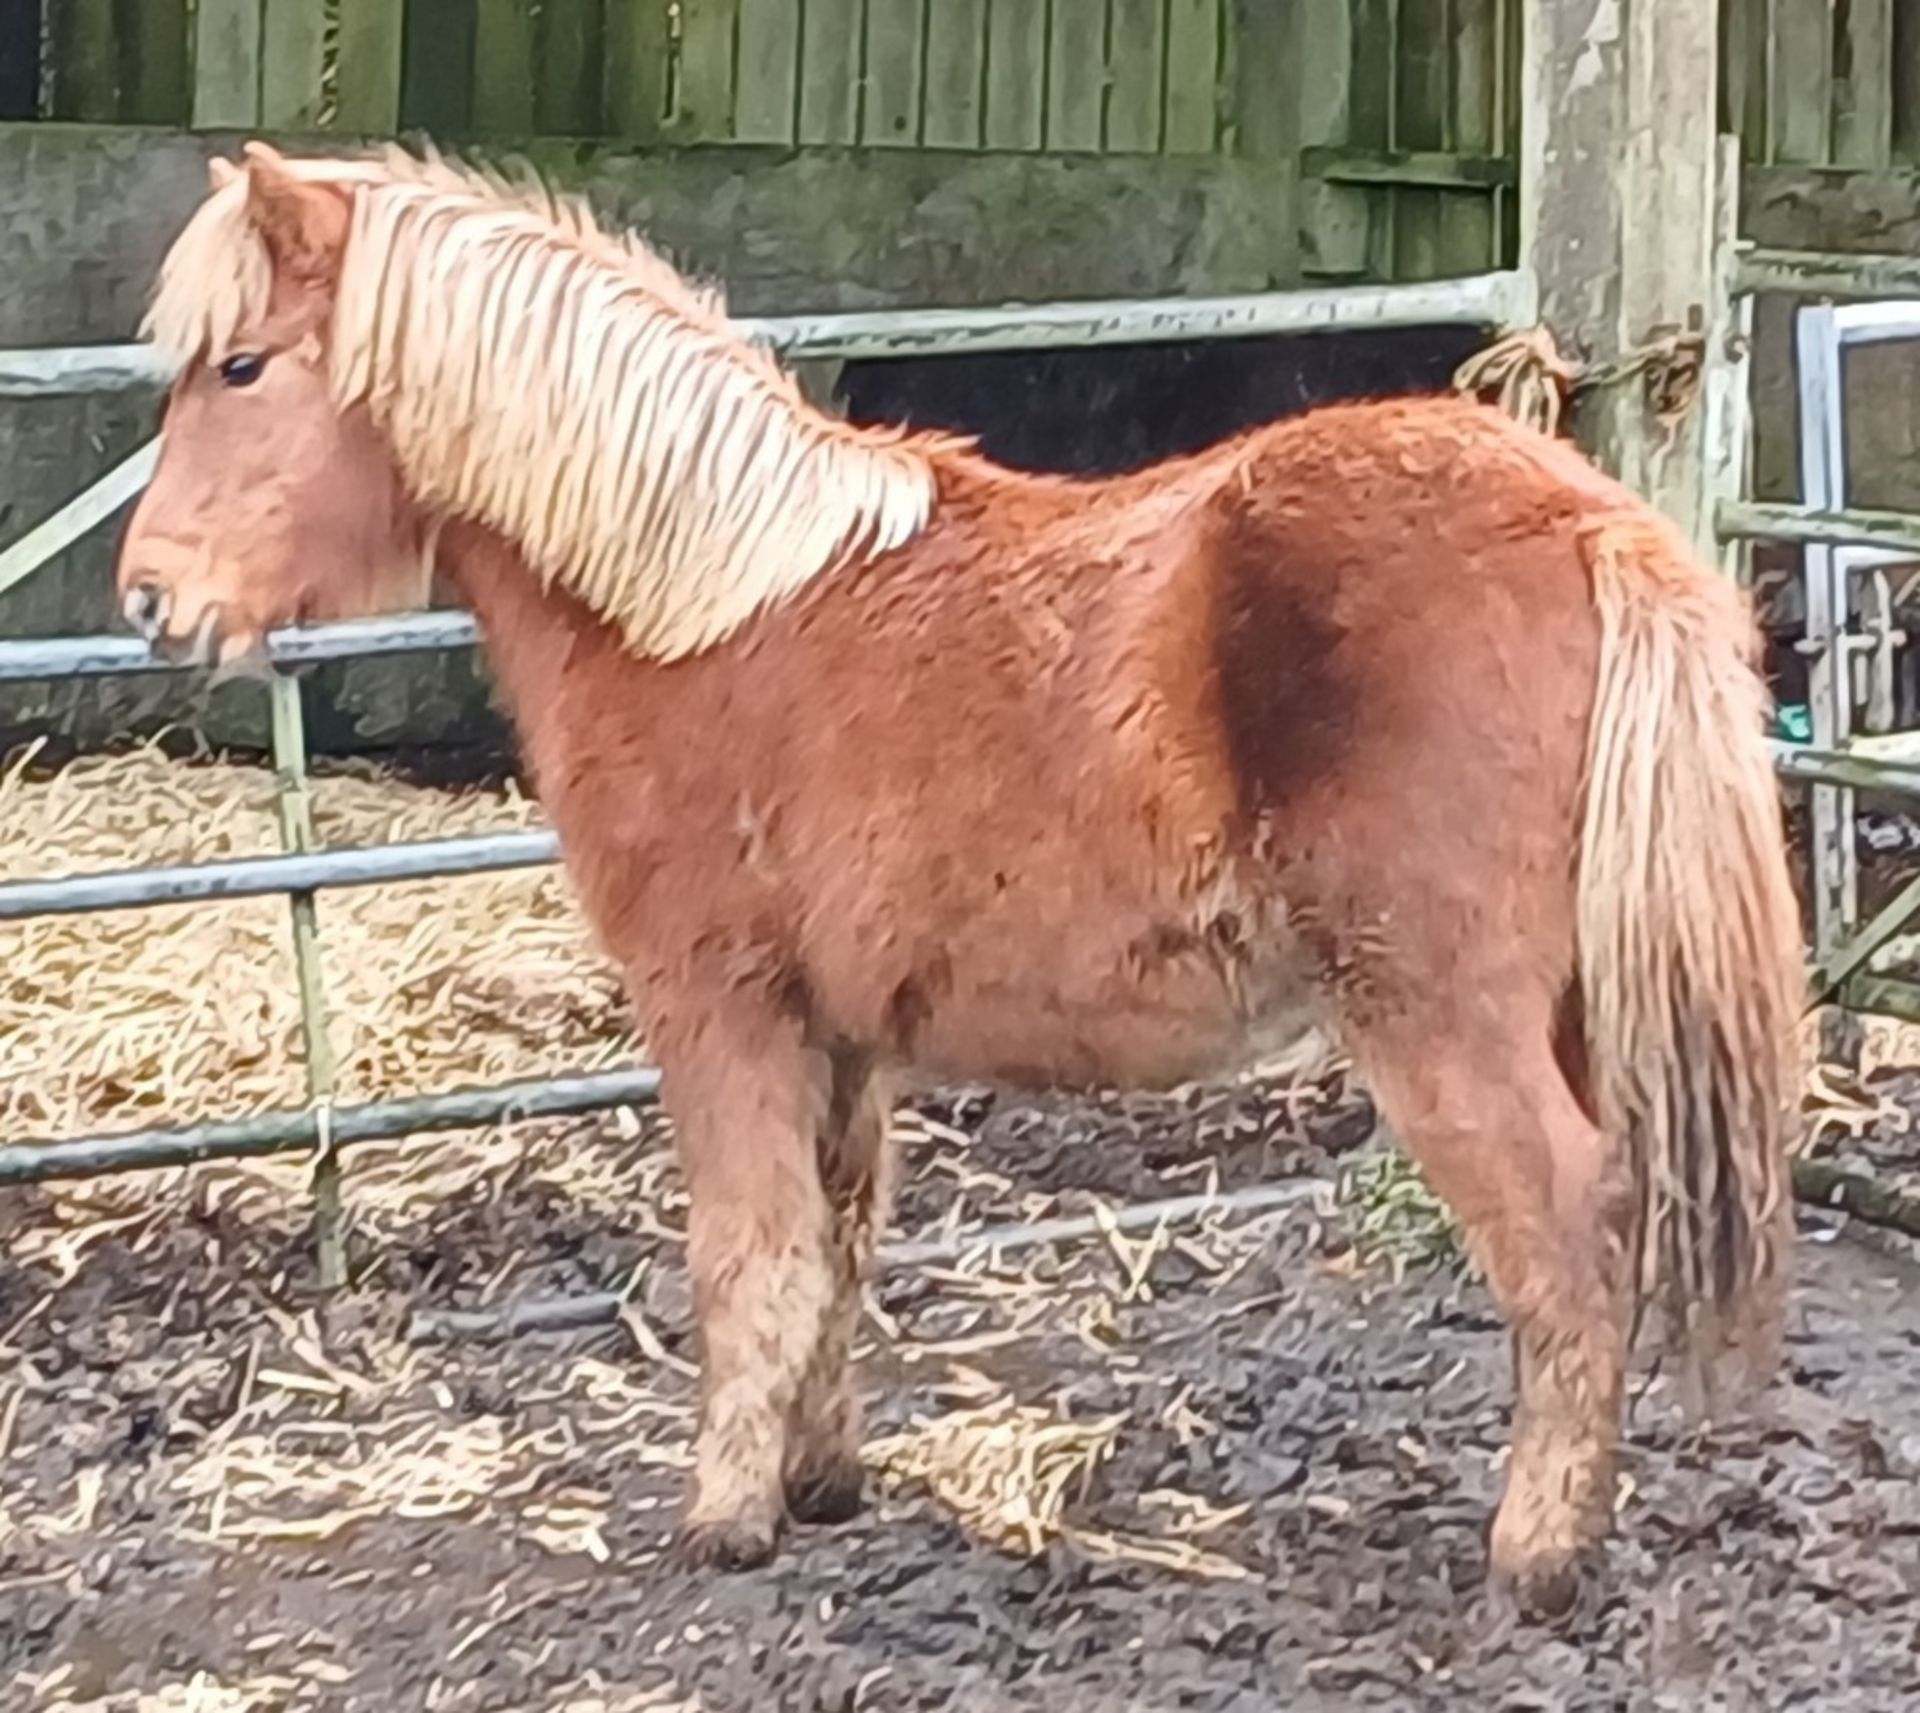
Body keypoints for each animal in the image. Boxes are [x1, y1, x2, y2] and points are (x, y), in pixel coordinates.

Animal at [120, 144, 1797, 1605]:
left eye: (243, 369)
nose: (149, 599)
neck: (697, 607)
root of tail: (1592, 524)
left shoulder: (715, 1007)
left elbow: (746, 1255)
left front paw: (723, 1518)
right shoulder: (842, 1036)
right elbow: (837, 1247)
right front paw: (815, 1480)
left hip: (1442, 1015)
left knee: (1569, 1229)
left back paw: (1539, 1552)